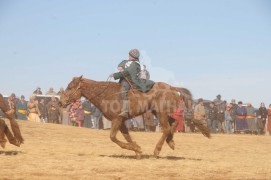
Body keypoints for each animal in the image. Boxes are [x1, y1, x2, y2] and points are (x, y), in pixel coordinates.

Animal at [60, 76, 211, 159]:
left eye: (70, 87)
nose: (61, 102)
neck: (105, 94)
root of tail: (172, 88)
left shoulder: (117, 120)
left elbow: (113, 137)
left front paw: (137, 149)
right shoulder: (121, 122)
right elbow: (126, 136)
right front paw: (137, 150)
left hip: (161, 113)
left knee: (167, 128)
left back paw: (157, 150)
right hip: (158, 112)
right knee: (173, 124)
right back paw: (171, 142)